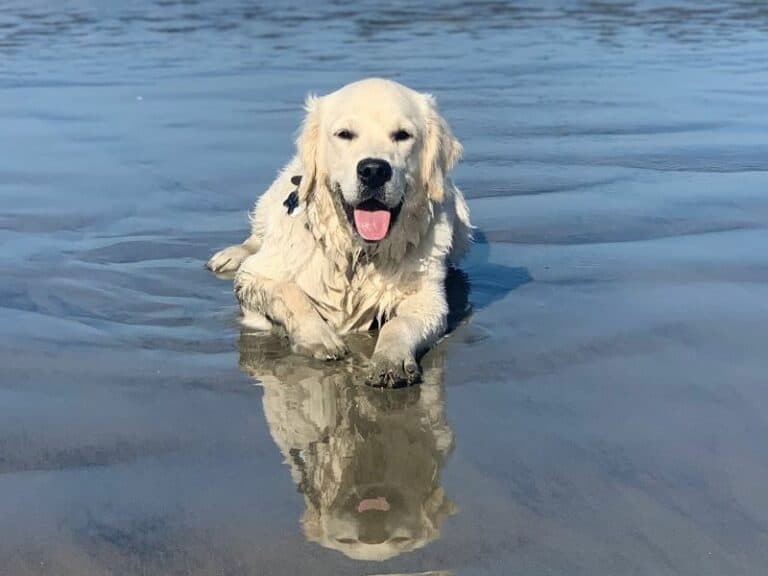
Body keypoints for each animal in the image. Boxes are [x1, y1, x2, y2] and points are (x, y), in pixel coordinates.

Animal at [207, 77, 472, 388]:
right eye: (345, 134)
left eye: (403, 135)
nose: (374, 170)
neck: (357, 254)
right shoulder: (256, 275)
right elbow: (288, 292)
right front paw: (319, 338)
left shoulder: (427, 298)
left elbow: (401, 323)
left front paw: (390, 360)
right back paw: (229, 255)